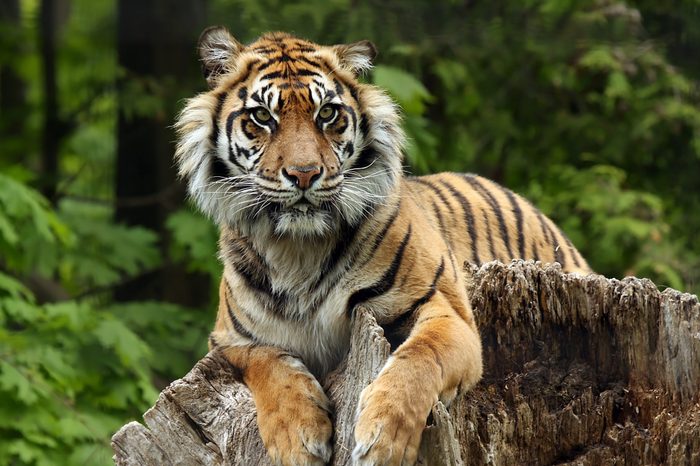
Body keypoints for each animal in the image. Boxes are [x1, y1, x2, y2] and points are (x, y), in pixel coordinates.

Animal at [174, 28, 592, 466]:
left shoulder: (448, 313)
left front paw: (383, 438)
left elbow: (421, 356)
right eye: (262, 117)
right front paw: (297, 438)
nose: (304, 174)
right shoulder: (229, 341)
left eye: (327, 114)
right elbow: (270, 365)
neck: (298, 249)